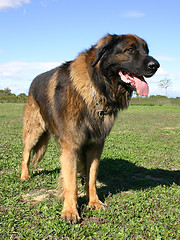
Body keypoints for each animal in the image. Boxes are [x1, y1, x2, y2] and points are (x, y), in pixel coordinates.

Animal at [20, 33, 160, 223]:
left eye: (147, 50)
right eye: (130, 50)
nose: (156, 65)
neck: (97, 87)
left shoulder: (95, 145)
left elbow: (92, 178)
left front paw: (93, 202)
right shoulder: (71, 146)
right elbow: (70, 184)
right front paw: (70, 211)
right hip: (34, 131)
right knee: (25, 154)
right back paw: (24, 175)